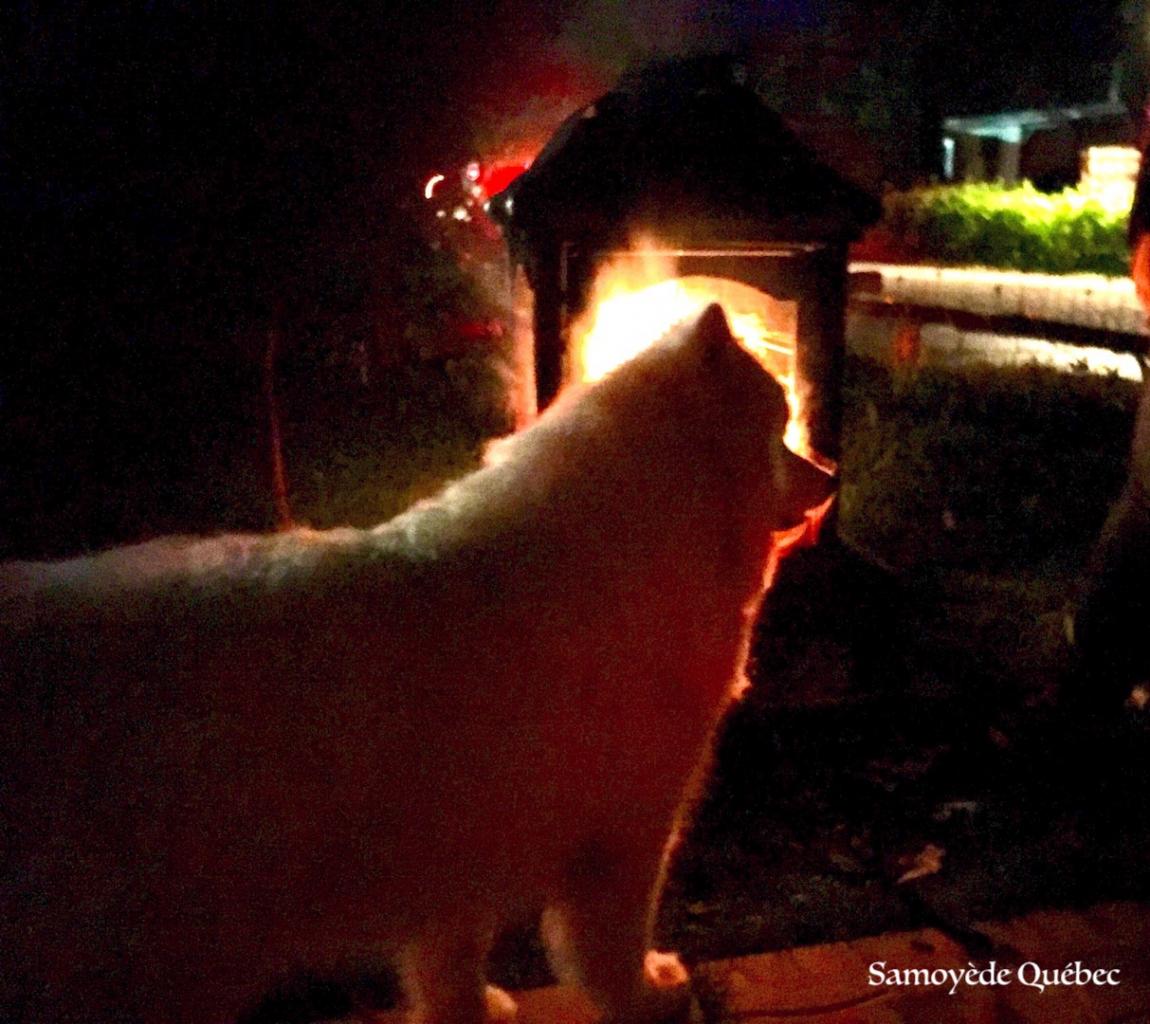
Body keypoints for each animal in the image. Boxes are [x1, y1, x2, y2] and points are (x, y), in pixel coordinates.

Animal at [0, 303, 828, 1021]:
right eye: (781, 423)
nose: (828, 480)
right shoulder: (625, 834)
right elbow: (606, 952)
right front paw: (652, 997)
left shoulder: (455, 861)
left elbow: (449, 969)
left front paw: (476, 1010)